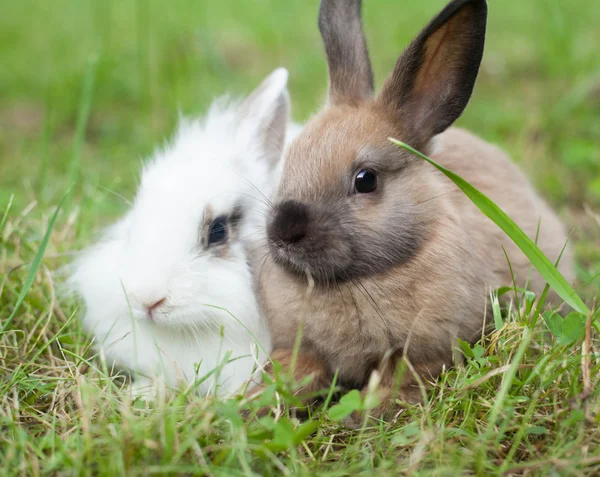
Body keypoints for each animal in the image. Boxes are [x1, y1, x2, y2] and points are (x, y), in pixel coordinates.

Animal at [252, 0, 572, 420]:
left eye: (366, 179)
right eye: (289, 161)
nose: (284, 230)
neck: (356, 280)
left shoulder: (423, 350)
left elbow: (398, 376)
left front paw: (365, 414)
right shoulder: (299, 346)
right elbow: (295, 370)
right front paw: (255, 403)